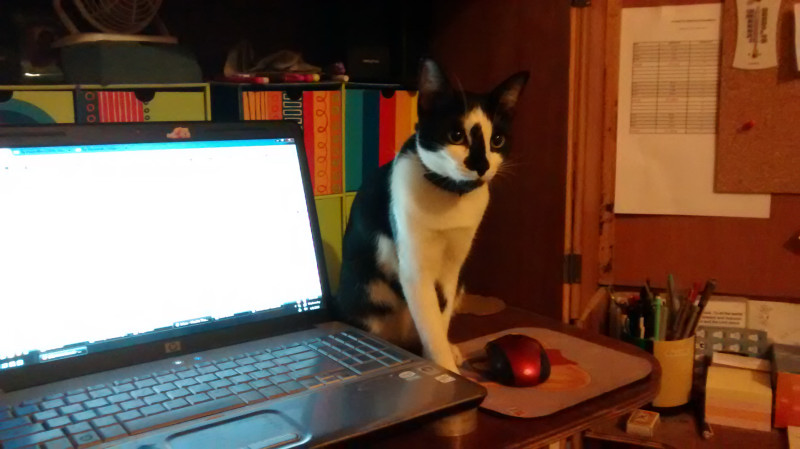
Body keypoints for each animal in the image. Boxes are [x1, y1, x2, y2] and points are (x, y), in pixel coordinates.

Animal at [334, 59, 528, 373]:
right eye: (456, 136)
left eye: (497, 140)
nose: (481, 165)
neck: (450, 195)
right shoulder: (415, 270)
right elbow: (430, 321)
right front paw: (445, 369)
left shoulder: (451, 269)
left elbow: (440, 318)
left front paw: (443, 358)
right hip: (364, 292)